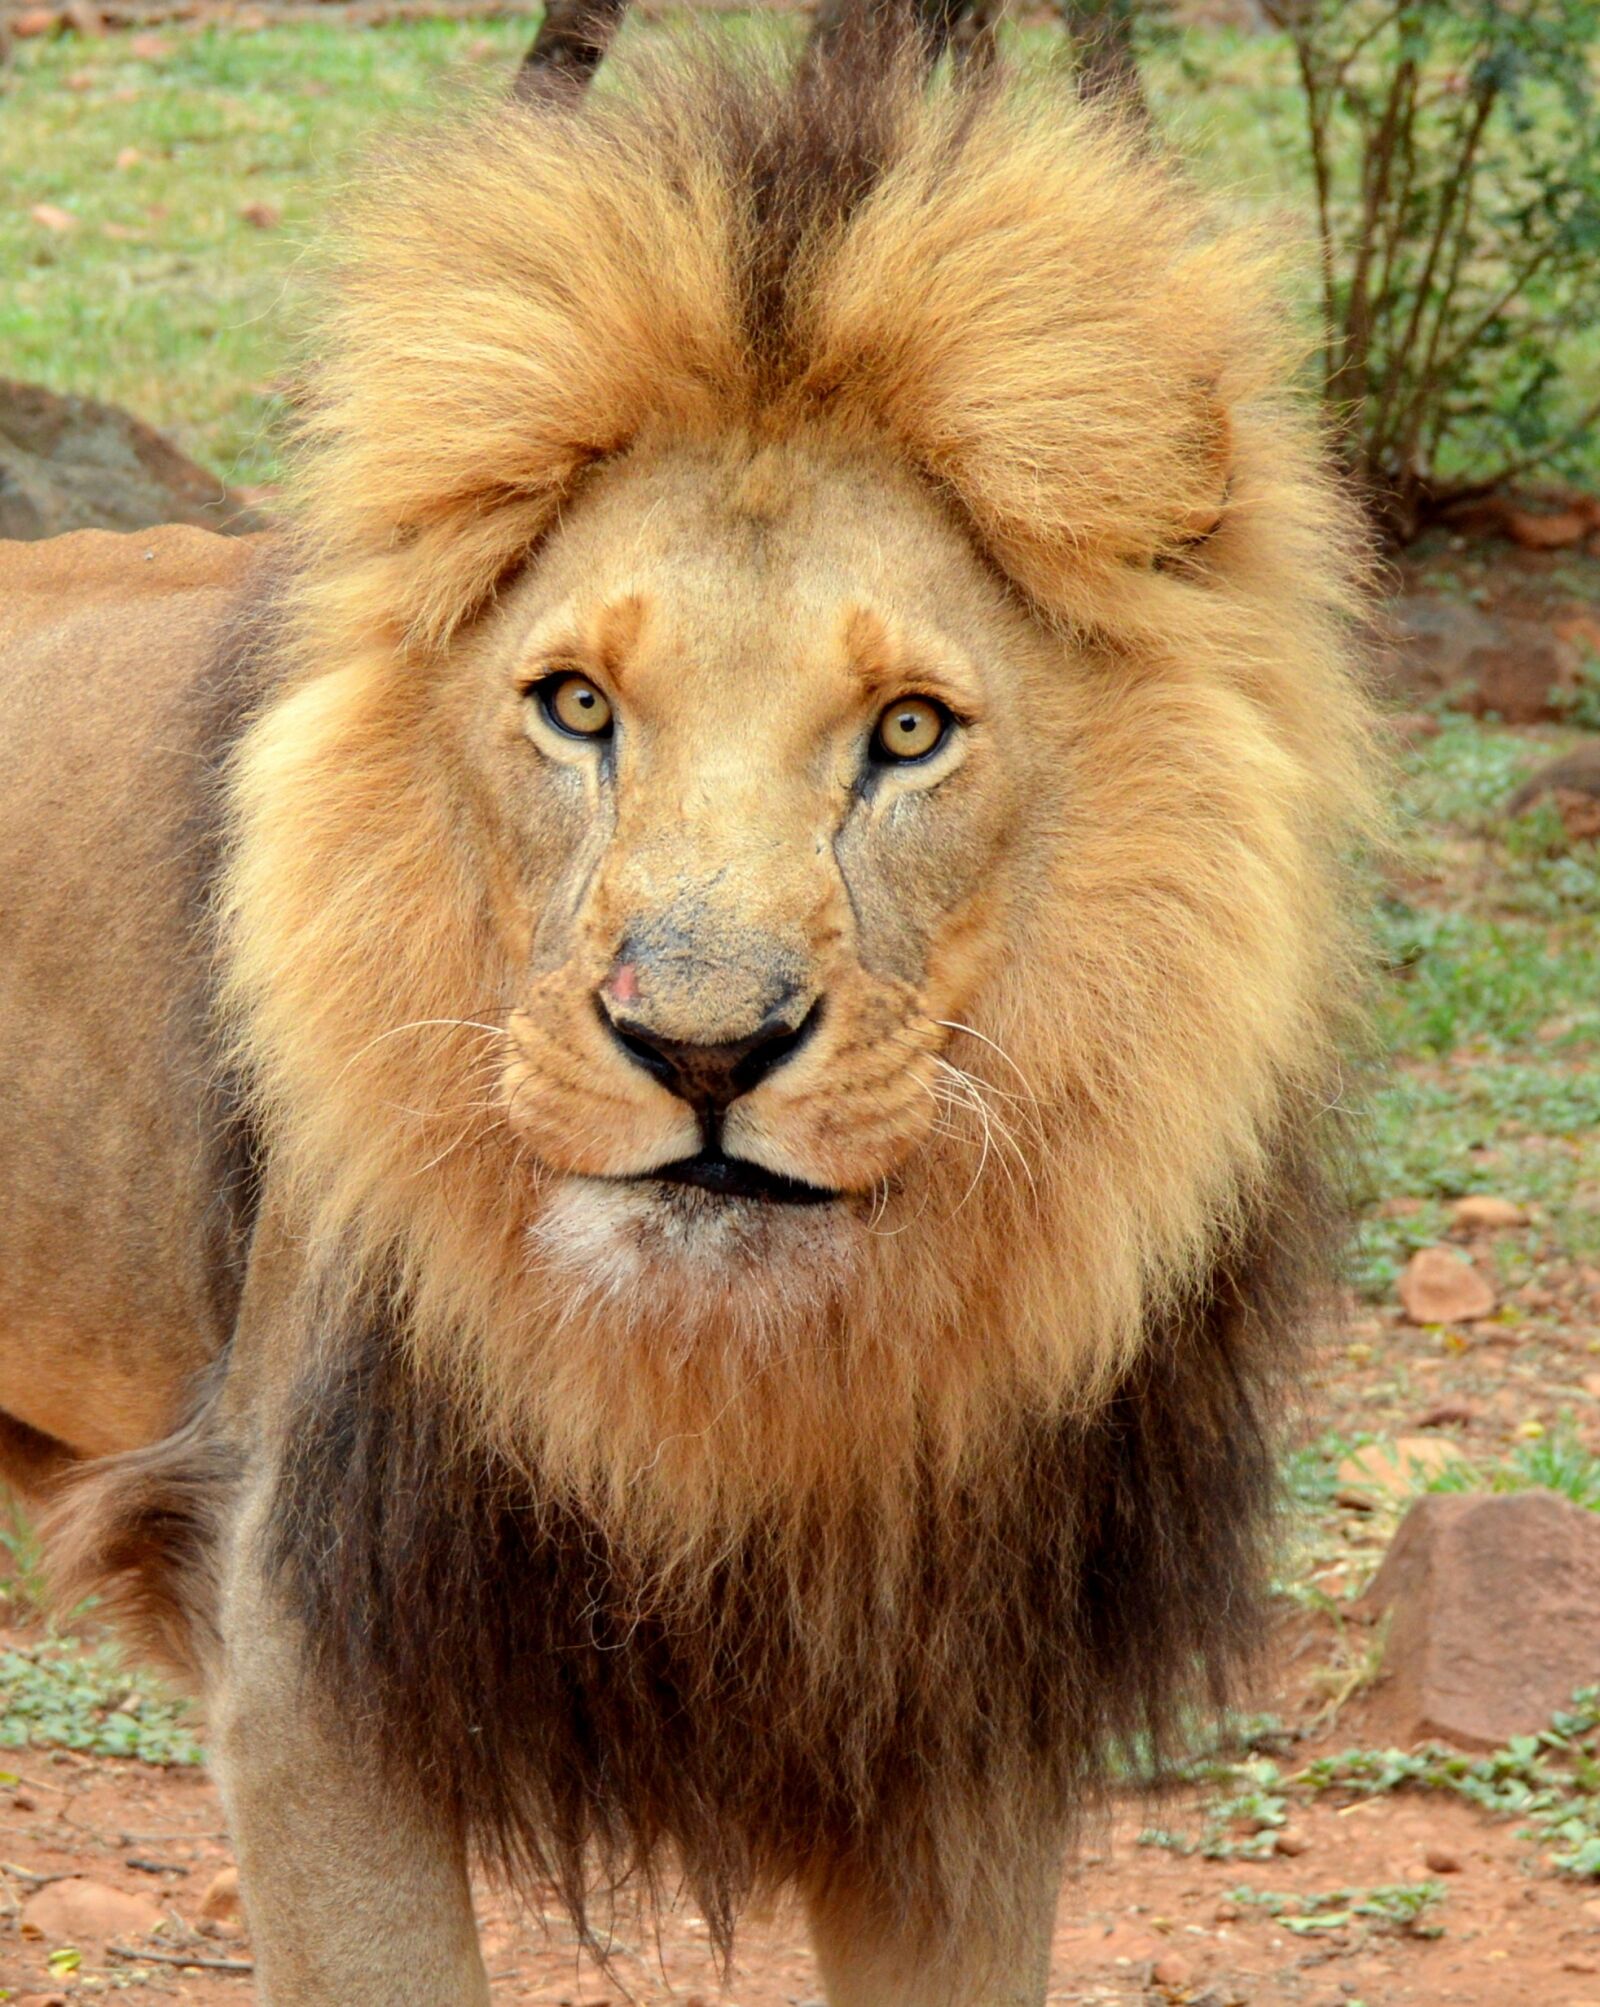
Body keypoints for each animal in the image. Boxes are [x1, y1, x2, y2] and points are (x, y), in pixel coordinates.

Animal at [0, 27, 1376, 2007]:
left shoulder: (966, 1738)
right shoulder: (305, 1662)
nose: (704, 1048)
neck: (744, 1403)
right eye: (577, 705)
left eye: (907, 730)